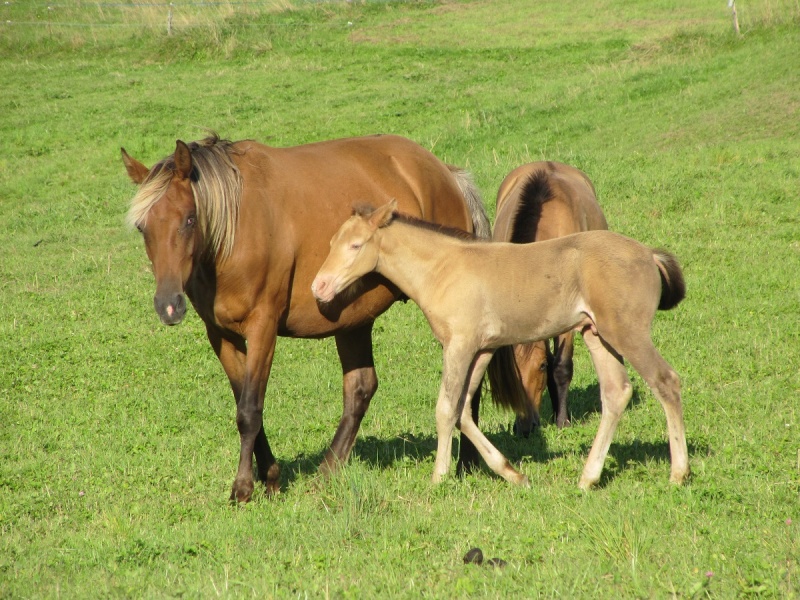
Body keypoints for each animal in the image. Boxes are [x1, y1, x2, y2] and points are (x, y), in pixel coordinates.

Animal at [122, 135, 490, 502]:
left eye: (189, 219)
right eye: (142, 226)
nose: (168, 305)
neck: (236, 231)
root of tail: (445, 173)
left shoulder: (263, 328)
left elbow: (249, 410)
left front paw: (243, 488)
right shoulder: (221, 335)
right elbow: (246, 404)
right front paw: (270, 477)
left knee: (465, 388)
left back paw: (466, 463)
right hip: (353, 321)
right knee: (360, 388)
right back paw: (327, 473)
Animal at [312, 199, 688, 490]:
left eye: (356, 245)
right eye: (329, 243)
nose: (319, 286)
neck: (443, 268)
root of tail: (648, 254)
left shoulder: (459, 346)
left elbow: (446, 408)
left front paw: (438, 477)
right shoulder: (483, 349)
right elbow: (464, 411)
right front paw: (513, 474)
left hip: (627, 333)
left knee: (665, 381)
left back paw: (678, 473)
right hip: (596, 334)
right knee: (616, 392)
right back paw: (588, 478)